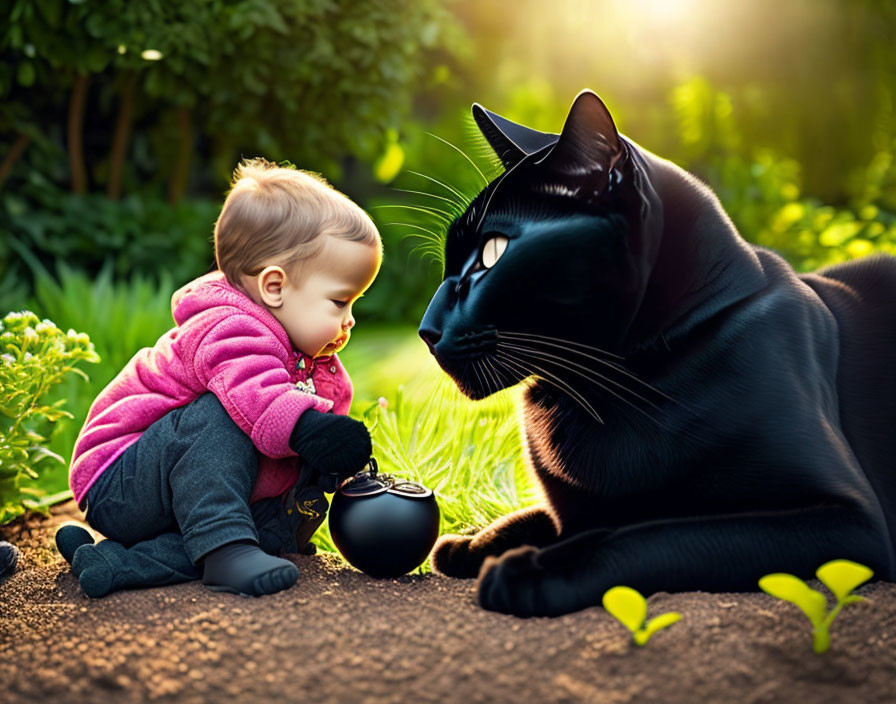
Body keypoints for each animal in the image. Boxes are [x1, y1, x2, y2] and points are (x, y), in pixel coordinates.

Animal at [418, 89, 896, 616]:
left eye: (493, 253)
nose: (426, 330)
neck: (598, 392)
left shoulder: (849, 520)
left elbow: (652, 533)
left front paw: (528, 570)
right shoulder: (571, 508)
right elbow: (543, 515)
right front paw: (468, 542)